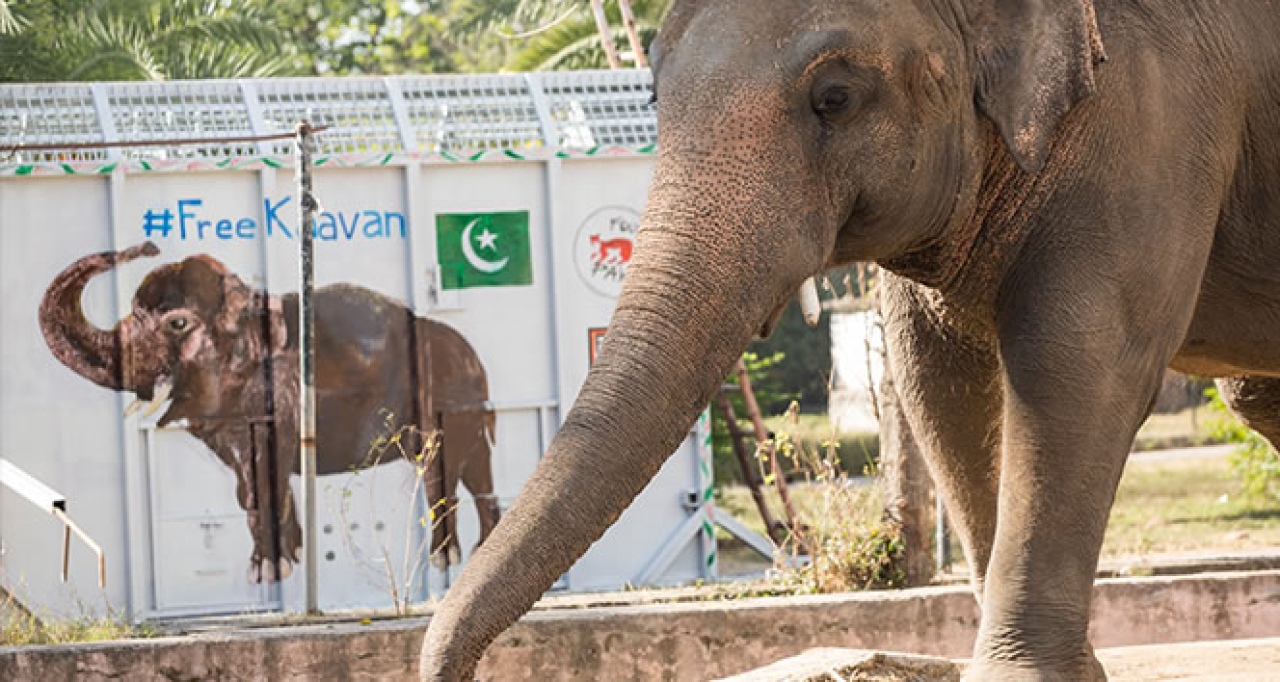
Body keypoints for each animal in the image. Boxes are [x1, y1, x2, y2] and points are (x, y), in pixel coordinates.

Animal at [40, 241, 499, 583]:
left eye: (177, 324)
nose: (149, 245)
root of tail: (475, 360)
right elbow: (250, 482)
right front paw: (286, 563)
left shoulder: (276, 396)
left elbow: (261, 474)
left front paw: (267, 573)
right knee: (477, 470)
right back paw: (481, 551)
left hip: (447, 400)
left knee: (440, 471)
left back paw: (445, 561)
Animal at [419, 0, 1280, 675]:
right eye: (654, 97)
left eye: (834, 97)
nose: (466, 671)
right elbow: (935, 378)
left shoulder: (1158, 119)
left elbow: (1082, 366)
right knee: (1255, 397)